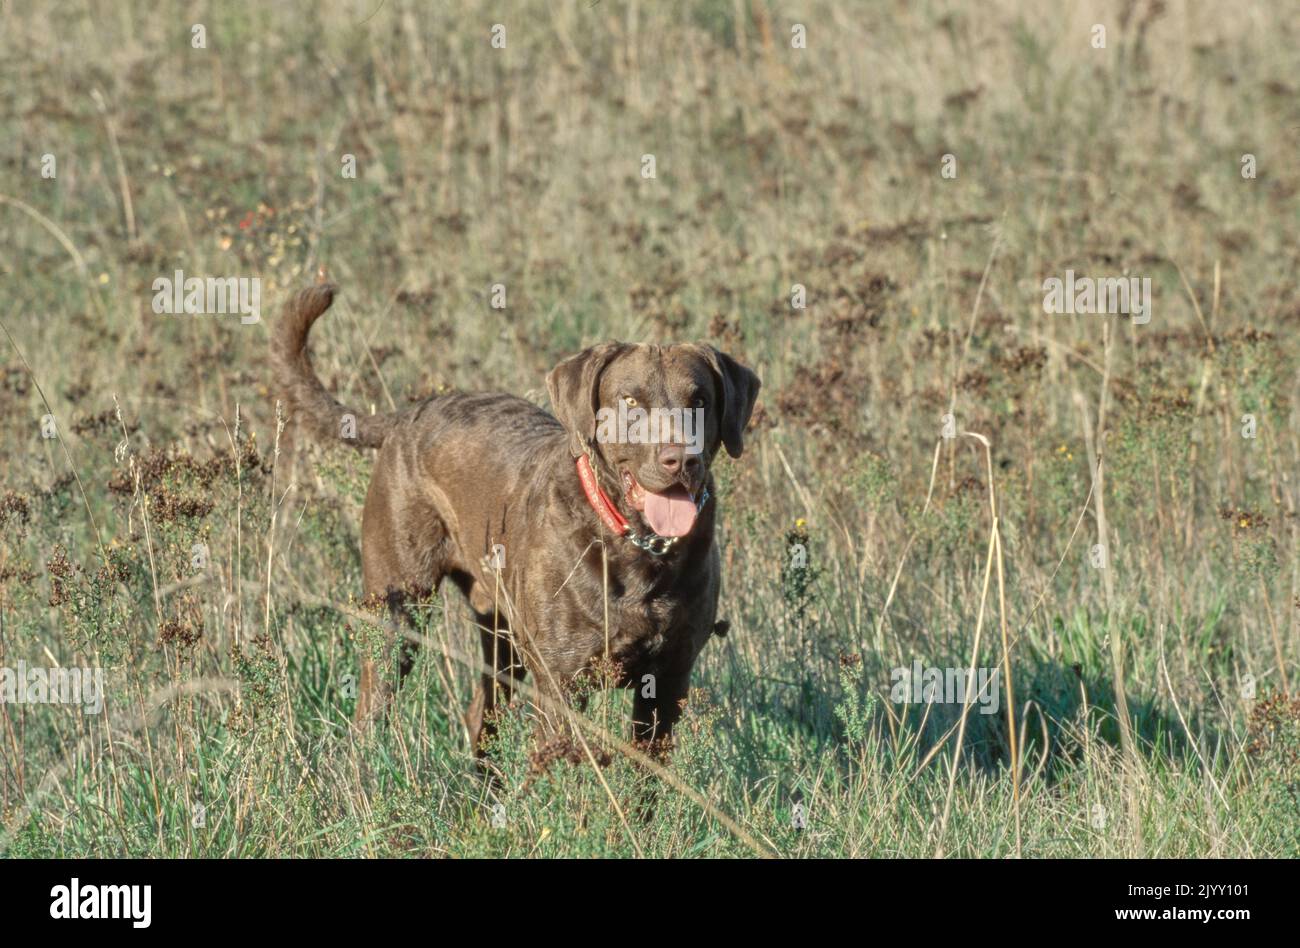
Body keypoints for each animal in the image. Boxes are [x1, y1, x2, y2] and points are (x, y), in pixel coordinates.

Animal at [274, 284, 759, 759]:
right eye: (630, 401)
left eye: (700, 401)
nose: (681, 459)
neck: (638, 546)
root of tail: (408, 414)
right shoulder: (562, 682)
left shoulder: (670, 681)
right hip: (398, 609)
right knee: (371, 712)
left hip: (500, 632)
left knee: (482, 716)